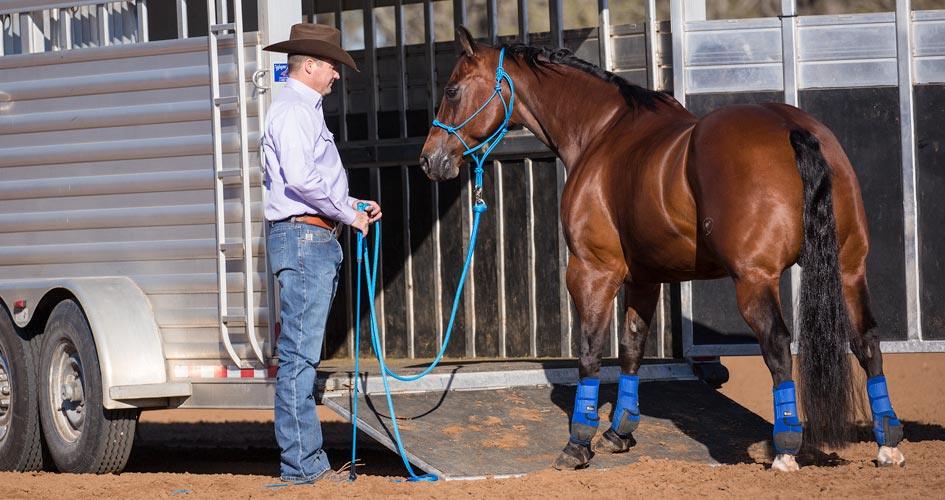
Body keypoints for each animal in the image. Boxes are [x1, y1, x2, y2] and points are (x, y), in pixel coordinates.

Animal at [420, 27, 907, 472]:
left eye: (452, 90)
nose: (429, 159)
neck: (602, 133)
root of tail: (794, 129)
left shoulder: (592, 271)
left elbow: (590, 353)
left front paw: (578, 443)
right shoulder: (645, 278)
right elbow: (632, 349)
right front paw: (619, 432)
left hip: (755, 280)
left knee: (778, 346)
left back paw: (786, 448)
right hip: (848, 270)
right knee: (866, 343)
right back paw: (888, 442)